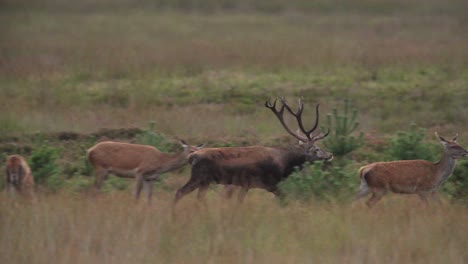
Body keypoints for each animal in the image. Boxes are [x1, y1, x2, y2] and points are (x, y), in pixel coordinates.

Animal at [175, 98, 332, 205]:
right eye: (317, 149)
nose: (330, 155)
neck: (284, 163)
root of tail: (191, 156)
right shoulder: (270, 183)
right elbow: (285, 200)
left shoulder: (246, 185)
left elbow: (239, 202)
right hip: (199, 177)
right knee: (179, 192)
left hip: (205, 181)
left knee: (198, 198)